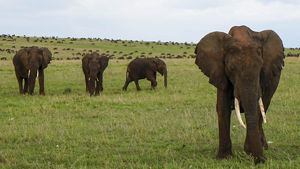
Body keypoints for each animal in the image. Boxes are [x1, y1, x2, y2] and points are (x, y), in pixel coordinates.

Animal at [193, 25, 284, 164]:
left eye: (260, 68)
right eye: (231, 69)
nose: (262, 160)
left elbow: (257, 108)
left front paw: (249, 152)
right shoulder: (220, 74)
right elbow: (222, 108)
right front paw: (224, 158)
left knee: (265, 106)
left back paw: (263, 147)